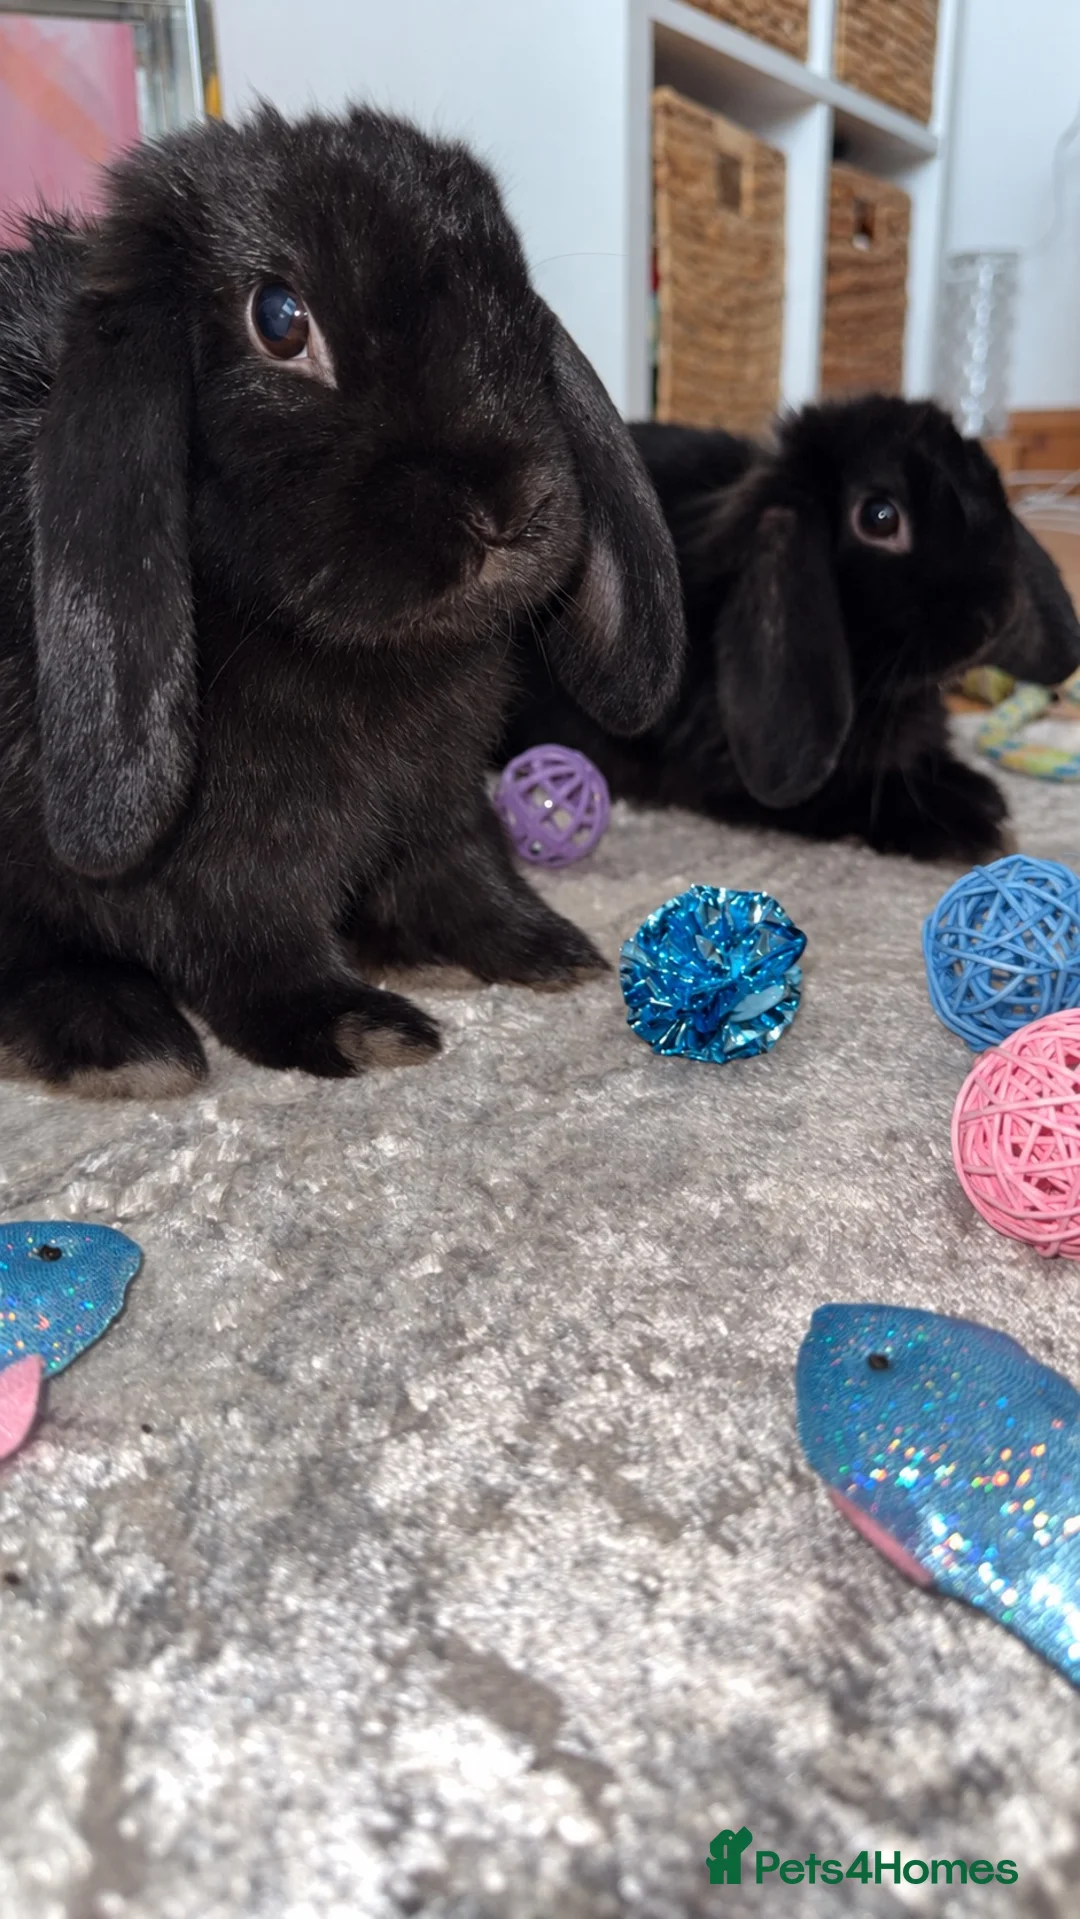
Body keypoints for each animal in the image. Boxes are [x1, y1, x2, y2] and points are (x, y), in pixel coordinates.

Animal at [0, 105, 685, 1097]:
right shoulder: (222, 862)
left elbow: (465, 866)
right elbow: (252, 944)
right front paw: (360, 1026)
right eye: (280, 319)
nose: (506, 512)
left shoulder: (438, 795)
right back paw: (125, 1041)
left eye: (518, 305)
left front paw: (542, 949)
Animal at [503, 396, 1080, 861]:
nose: (995, 613)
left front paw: (976, 790)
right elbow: (842, 797)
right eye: (879, 517)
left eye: (990, 481)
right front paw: (969, 818)